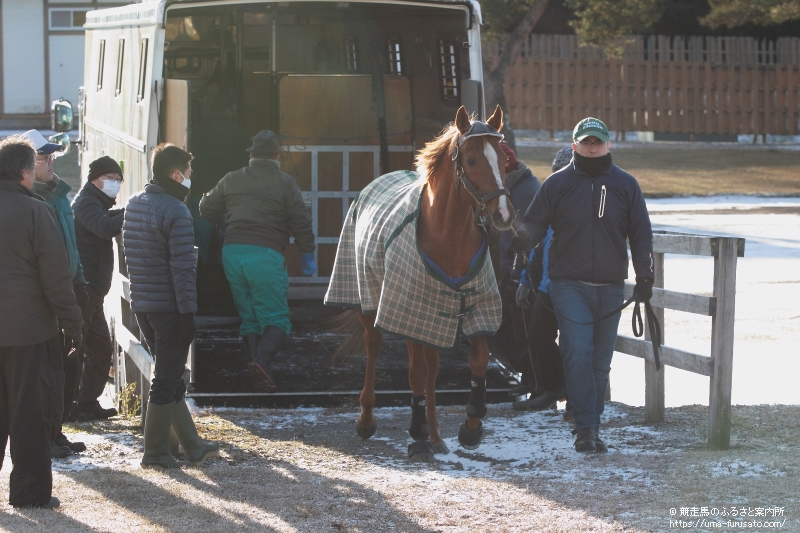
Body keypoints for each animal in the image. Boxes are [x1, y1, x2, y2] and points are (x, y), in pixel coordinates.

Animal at [324, 105, 514, 460]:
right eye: (471, 160)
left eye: (503, 160)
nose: (503, 215)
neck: (447, 236)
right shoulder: (408, 310)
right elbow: (416, 373)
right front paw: (417, 432)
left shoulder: (475, 306)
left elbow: (478, 360)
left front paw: (471, 425)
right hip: (371, 303)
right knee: (375, 347)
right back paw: (368, 419)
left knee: (433, 366)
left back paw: (436, 434)